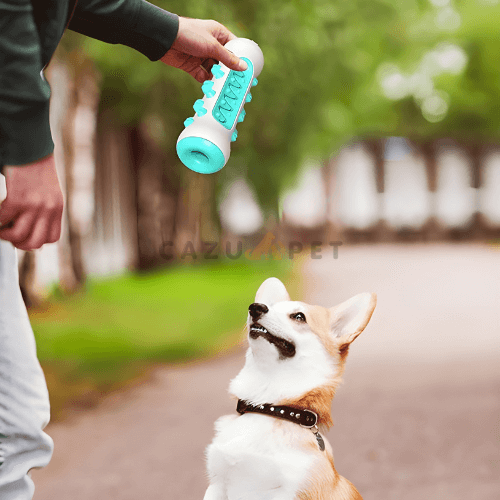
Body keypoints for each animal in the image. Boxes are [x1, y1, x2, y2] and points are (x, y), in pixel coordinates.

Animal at [202, 278, 376, 500]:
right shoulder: (216, 485)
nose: (255, 307)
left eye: (299, 316)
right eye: (269, 306)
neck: (268, 407)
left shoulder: (288, 492)